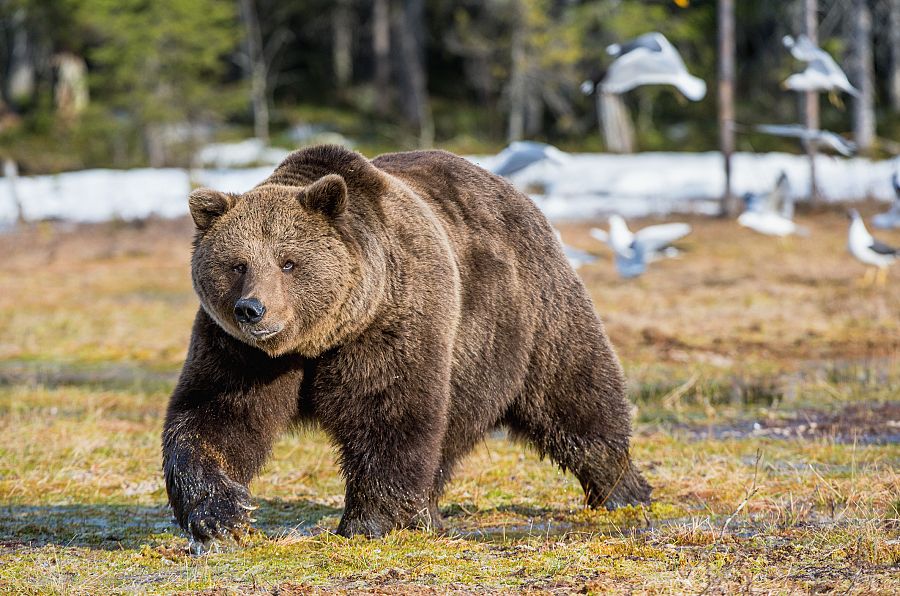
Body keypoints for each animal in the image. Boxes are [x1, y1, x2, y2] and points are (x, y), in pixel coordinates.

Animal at [162, 143, 652, 544]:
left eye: (289, 262)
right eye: (237, 264)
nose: (253, 310)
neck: (320, 340)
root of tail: (514, 191)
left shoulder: (392, 322)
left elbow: (389, 411)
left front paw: (367, 521)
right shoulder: (239, 352)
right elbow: (215, 416)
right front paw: (223, 515)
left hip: (526, 318)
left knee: (576, 396)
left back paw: (625, 490)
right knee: (447, 441)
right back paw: (426, 514)